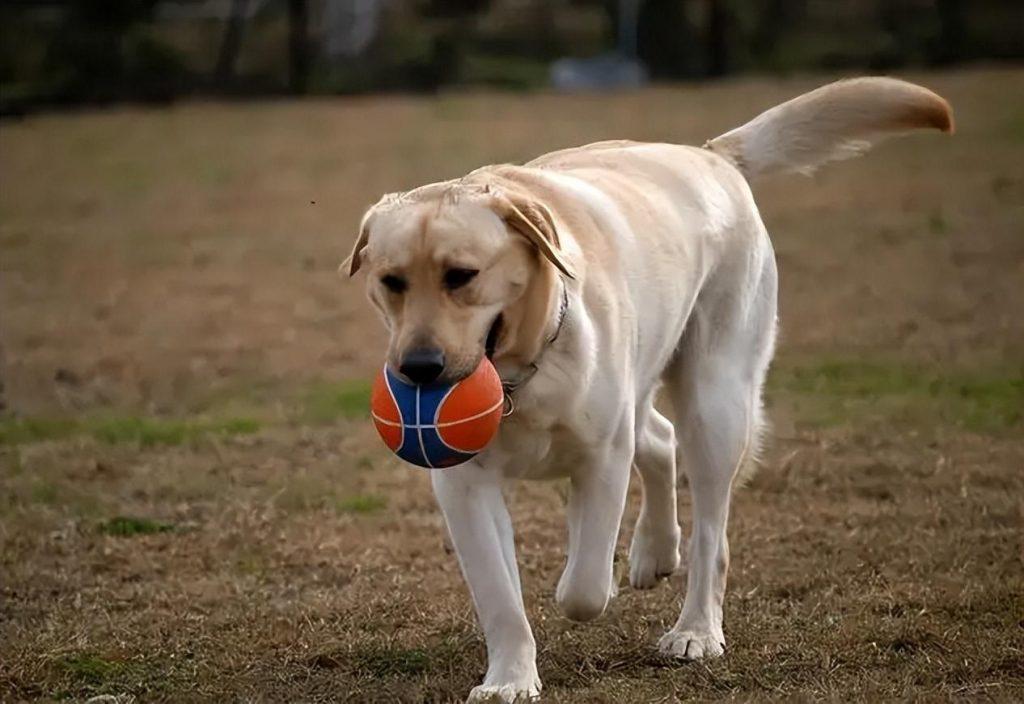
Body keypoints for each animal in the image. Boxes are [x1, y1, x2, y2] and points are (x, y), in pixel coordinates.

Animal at [344, 79, 950, 699]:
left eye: (461, 276)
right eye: (391, 282)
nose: (419, 367)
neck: (522, 374)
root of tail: (711, 155)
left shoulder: (603, 458)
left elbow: (584, 587)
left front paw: (584, 583)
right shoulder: (464, 484)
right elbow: (500, 597)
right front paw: (511, 678)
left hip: (716, 403)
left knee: (710, 532)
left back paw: (695, 630)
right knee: (659, 440)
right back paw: (654, 552)